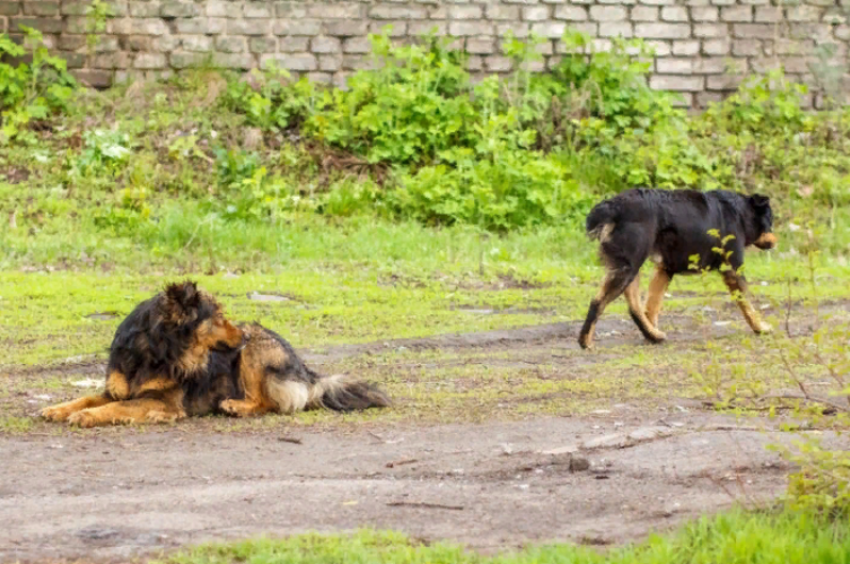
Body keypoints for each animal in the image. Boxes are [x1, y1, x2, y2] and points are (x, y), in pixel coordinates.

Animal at [44, 282, 390, 428]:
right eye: (219, 315)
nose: (243, 335)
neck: (154, 352)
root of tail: (305, 371)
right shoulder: (115, 388)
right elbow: (89, 398)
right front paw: (60, 409)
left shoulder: (162, 400)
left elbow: (116, 407)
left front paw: (87, 417)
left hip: (253, 355)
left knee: (270, 403)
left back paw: (236, 406)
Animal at [576, 188, 776, 348]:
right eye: (771, 221)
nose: (776, 241)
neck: (740, 213)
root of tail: (615, 206)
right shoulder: (733, 269)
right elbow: (747, 305)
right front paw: (760, 327)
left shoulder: (664, 270)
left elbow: (652, 308)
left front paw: (650, 334)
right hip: (628, 268)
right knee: (598, 302)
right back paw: (585, 341)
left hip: (631, 269)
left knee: (634, 308)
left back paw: (653, 335)